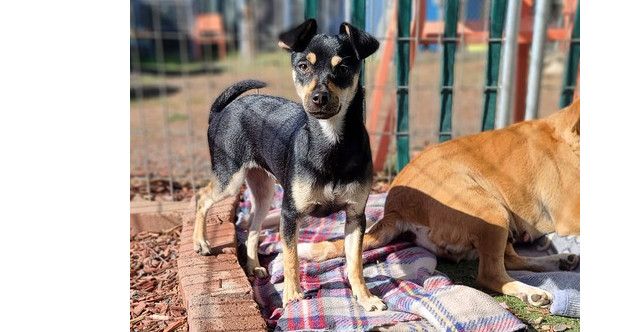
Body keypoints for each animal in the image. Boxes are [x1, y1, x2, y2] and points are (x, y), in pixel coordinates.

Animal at [191, 20, 386, 312]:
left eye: (343, 69)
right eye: (303, 66)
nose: (319, 97)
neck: (330, 142)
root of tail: (220, 112)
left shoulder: (355, 216)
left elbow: (355, 262)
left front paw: (364, 297)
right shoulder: (290, 214)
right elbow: (291, 256)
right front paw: (293, 295)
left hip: (263, 191)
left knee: (252, 227)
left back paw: (254, 266)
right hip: (230, 178)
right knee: (202, 197)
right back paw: (201, 242)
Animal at [300, 98, 584, 308]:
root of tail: (396, 209)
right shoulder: (569, 217)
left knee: (511, 260)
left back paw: (561, 261)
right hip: (493, 211)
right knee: (491, 274)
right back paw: (531, 290)